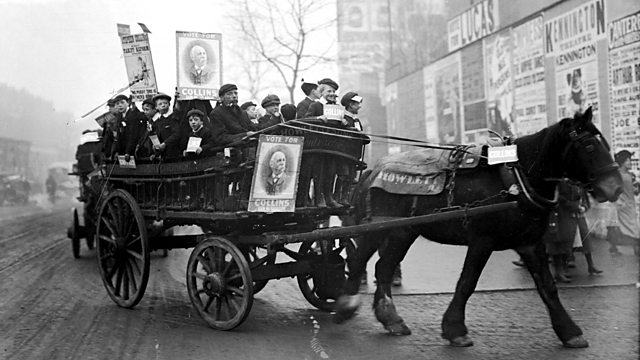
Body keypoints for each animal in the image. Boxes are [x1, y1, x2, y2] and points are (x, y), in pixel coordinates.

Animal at [338, 107, 624, 348]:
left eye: (604, 143)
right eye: (589, 146)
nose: (616, 187)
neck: (516, 179)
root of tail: (373, 170)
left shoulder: (529, 242)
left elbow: (547, 286)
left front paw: (569, 331)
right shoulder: (482, 240)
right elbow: (467, 282)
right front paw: (455, 329)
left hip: (403, 231)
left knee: (383, 267)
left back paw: (391, 319)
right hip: (379, 226)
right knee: (359, 260)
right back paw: (345, 304)